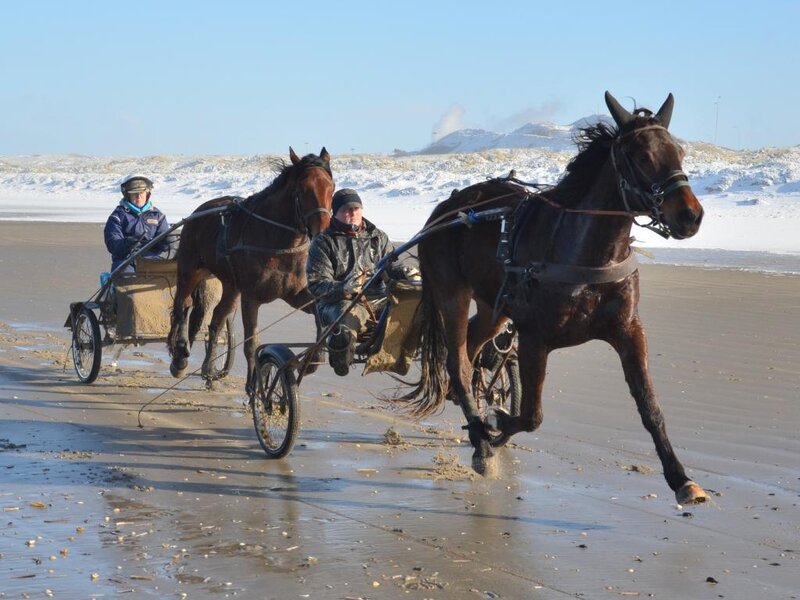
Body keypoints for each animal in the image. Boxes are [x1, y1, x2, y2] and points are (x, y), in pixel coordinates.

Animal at [168, 147, 334, 393]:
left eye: (331, 188)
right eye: (303, 190)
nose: (322, 231)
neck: (277, 241)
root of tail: (199, 211)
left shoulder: (296, 295)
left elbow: (322, 321)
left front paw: (314, 359)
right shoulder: (250, 298)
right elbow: (252, 344)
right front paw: (255, 385)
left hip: (230, 286)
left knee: (217, 318)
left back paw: (209, 369)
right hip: (191, 269)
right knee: (183, 304)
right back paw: (179, 358)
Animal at [406, 92, 709, 505]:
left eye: (679, 151)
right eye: (644, 156)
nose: (690, 215)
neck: (586, 251)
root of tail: (446, 209)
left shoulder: (628, 330)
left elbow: (650, 407)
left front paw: (681, 478)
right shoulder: (536, 338)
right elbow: (532, 416)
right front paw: (495, 423)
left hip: (494, 307)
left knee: (473, 344)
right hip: (451, 292)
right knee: (459, 362)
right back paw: (481, 440)